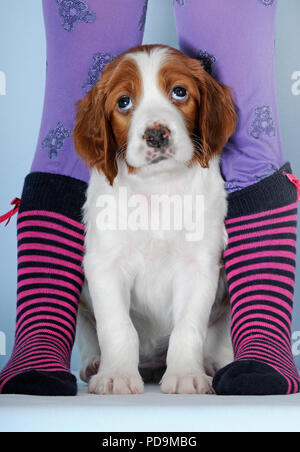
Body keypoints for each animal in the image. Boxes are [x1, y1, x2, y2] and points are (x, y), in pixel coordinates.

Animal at [73, 44, 237, 394]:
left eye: (179, 92)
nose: (156, 135)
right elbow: (117, 326)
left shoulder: (198, 265)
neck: (158, 188)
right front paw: (116, 376)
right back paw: (94, 364)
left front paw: (186, 375)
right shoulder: (105, 264)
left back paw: (214, 364)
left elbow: (188, 326)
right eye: (123, 101)